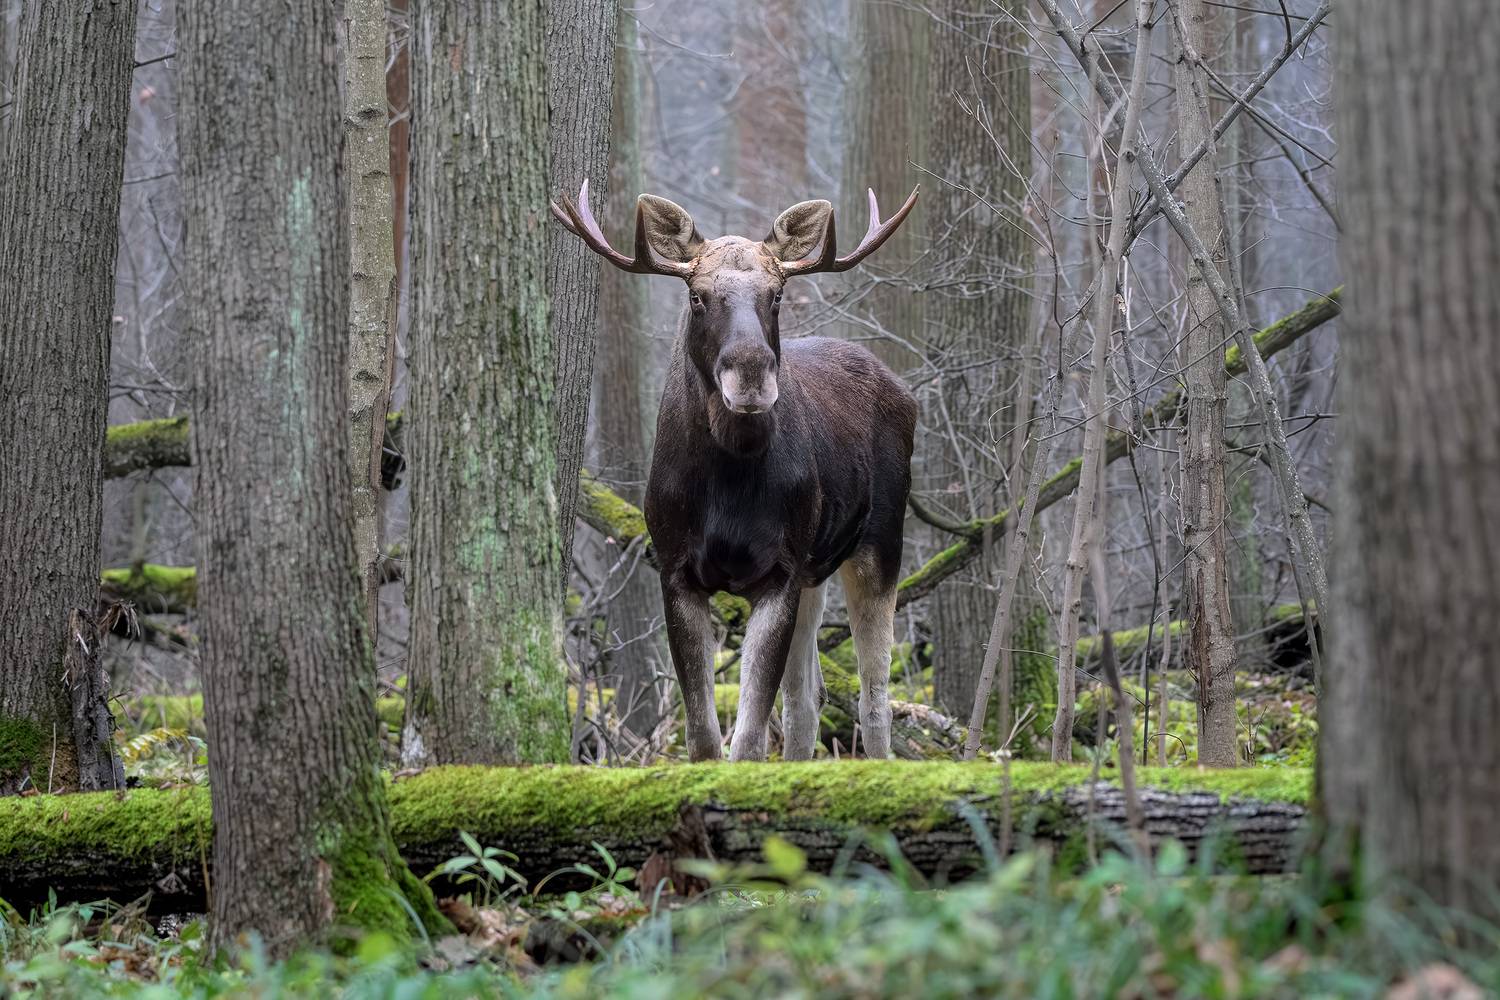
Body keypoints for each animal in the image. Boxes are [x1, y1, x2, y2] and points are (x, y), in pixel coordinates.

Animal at [551, 180, 919, 762]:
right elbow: (703, 734)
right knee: (807, 700)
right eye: (697, 295)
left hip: (880, 542)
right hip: (816, 569)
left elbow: (746, 737)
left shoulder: (779, 571)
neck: (728, 493)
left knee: (875, 697)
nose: (750, 374)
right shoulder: (676, 567)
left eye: (777, 294)